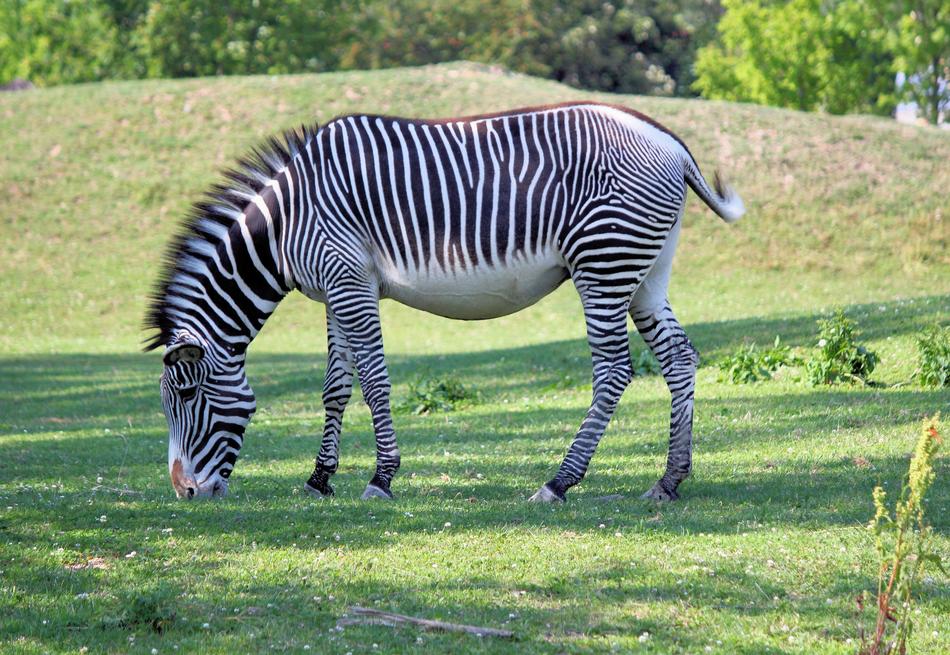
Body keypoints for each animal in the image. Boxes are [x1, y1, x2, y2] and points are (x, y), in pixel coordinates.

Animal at [145, 102, 744, 503]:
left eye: (188, 395)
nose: (183, 492)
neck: (284, 224)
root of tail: (671, 144)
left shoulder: (350, 282)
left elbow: (374, 381)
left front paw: (381, 478)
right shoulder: (334, 292)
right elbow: (336, 388)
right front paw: (319, 479)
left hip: (604, 263)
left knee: (615, 369)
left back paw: (559, 482)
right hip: (646, 271)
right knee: (679, 358)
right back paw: (669, 480)